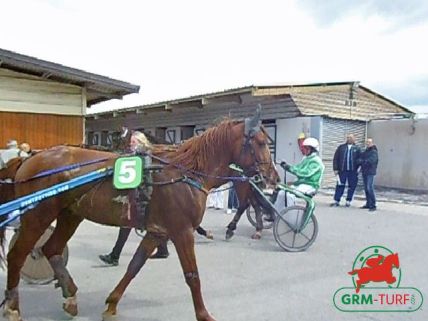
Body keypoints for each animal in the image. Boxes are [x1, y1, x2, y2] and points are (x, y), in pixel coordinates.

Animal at [0, 114, 280, 320]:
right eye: (261, 142)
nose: (273, 178)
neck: (185, 172)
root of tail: (30, 159)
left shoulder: (158, 230)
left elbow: (134, 266)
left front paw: (112, 303)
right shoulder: (181, 230)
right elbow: (192, 276)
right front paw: (204, 315)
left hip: (70, 215)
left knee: (52, 248)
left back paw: (69, 296)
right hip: (38, 214)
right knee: (18, 254)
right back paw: (13, 306)